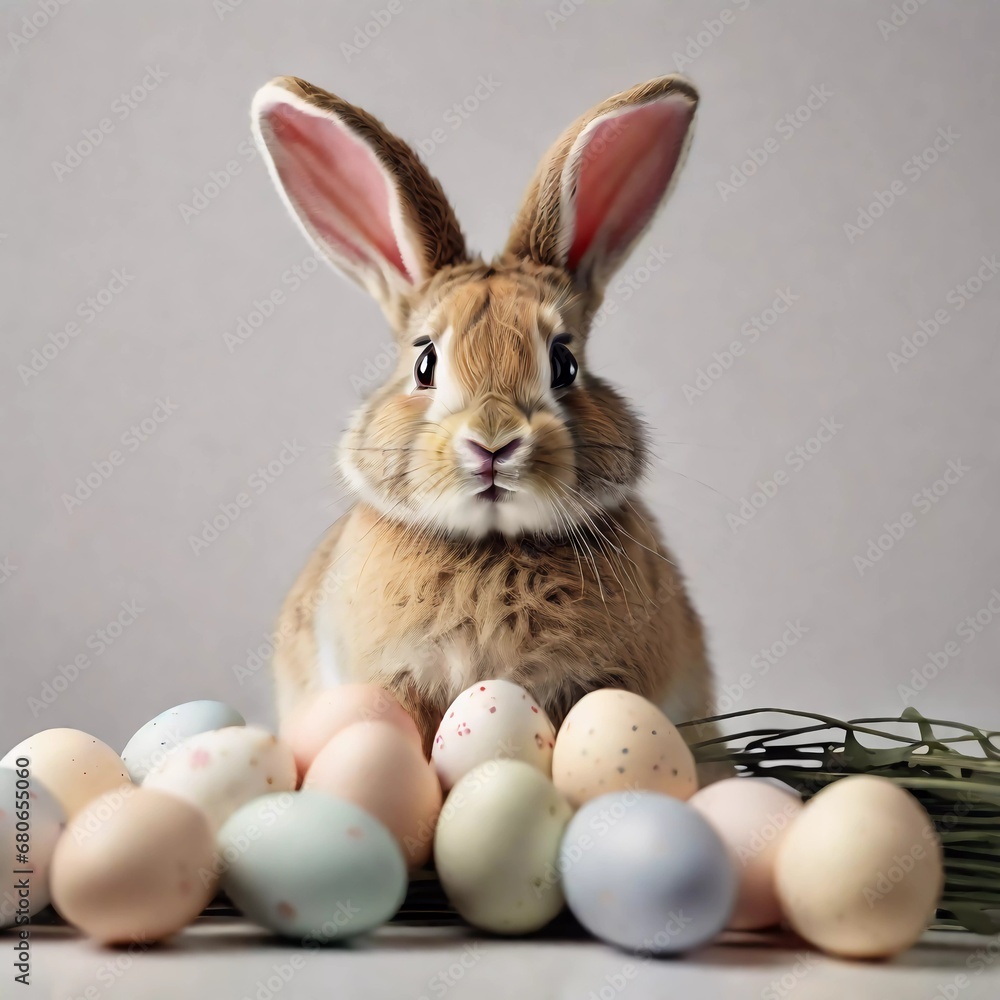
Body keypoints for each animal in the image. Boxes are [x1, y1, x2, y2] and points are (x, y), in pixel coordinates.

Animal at [251, 73, 730, 781]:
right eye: (424, 362)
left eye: (564, 364)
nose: (494, 443)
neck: (494, 547)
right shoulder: (399, 683)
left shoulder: (594, 686)